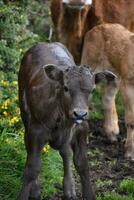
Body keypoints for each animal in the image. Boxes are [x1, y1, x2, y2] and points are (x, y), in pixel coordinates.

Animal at [17, 41, 116, 199]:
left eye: (92, 90)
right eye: (66, 87)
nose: (80, 114)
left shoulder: (81, 129)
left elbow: (82, 164)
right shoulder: (35, 130)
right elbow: (32, 167)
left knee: (66, 152)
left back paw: (69, 189)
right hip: (24, 113)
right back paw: (36, 189)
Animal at [81, 23, 134, 160]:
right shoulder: (128, 84)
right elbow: (131, 120)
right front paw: (130, 153)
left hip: (113, 77)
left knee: (107, 98)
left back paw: (111, 136)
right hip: (90, 63)